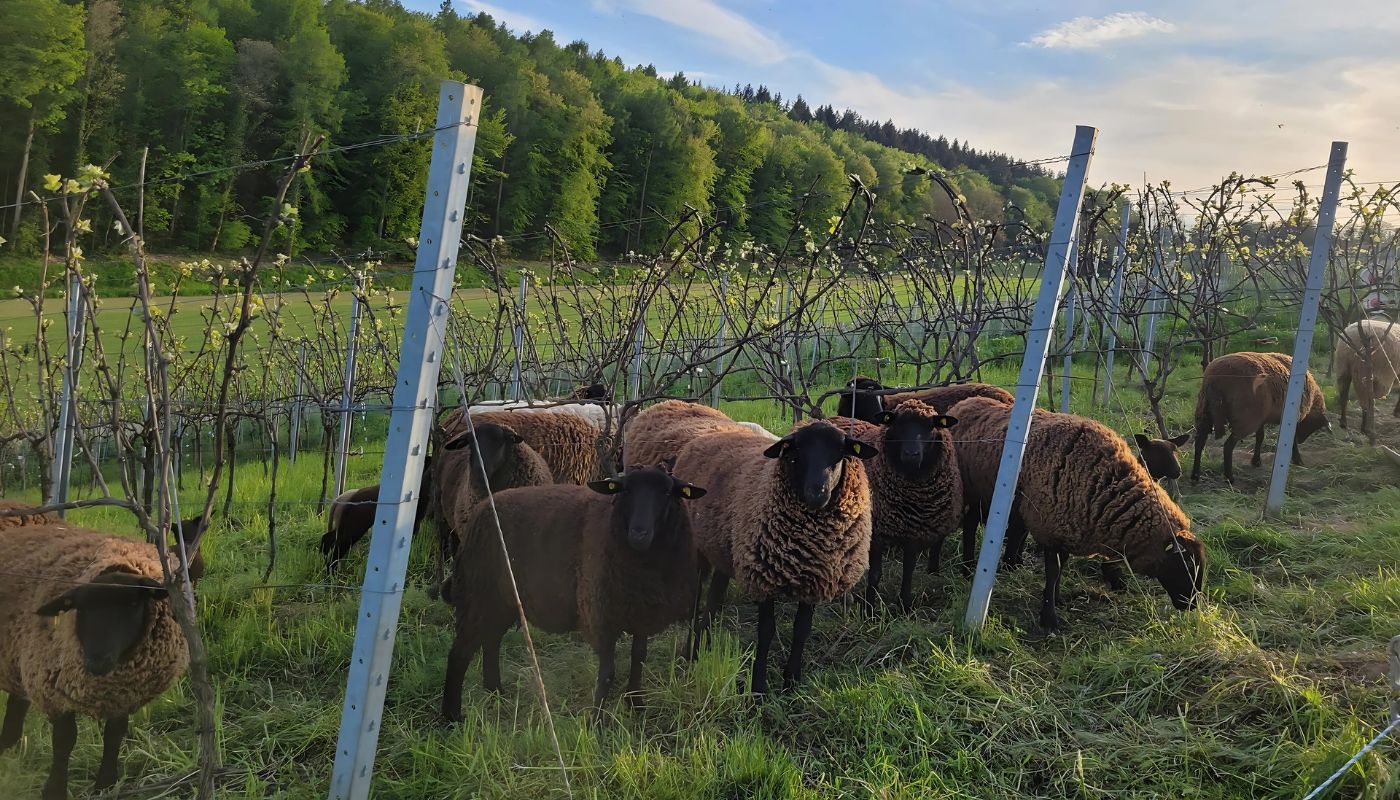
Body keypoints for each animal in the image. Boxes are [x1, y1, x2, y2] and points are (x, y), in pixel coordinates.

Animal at [0, 526, 187, 800]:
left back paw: (7, 745)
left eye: (133, 603)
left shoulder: (123, 696)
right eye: (79, 607)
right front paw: (55, 789)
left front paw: (106, 785)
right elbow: (64, 740)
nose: (97, 661)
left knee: (17, 700)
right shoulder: (55, 690)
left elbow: (114, 735)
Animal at [442, 462, 705, 717]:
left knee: (491, 641)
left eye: (666, 492)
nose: (639, 533)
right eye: (626, 490)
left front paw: (636, 705)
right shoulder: (600, 613)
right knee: (460, 653)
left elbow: (639, 658)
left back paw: (496, 692)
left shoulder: (642, 612)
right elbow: (608, 672)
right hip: (478, 593)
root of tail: (482, 508)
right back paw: (452, 716)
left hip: (501, 600)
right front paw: (597, 721)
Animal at [674, 420, 873, 694]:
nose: (818, 492)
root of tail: (708, 434)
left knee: (715, 596)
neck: (807, 545)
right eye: (797, 452)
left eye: (841, 452)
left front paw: (792, 682)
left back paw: (704, 643)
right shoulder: (762, 577)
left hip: (724, 547)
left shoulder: (814, 581)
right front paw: (758, 687)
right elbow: (766, 631)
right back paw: (691, 651)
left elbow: (802, 630)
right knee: (697, 600)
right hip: (699, 547)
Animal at [1192, 353, 1332, 484]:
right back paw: (1229, 477)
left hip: (1204, 412)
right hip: (1244, 419)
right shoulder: (1293, 417)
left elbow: (1260, 437)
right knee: (1228, 446)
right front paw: (1298, 459)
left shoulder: (1261, 419)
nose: (1301, 440)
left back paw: (1195, 476)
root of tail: (1214, 379)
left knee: (1199, 443)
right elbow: (1291, 440)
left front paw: (1256, 461)